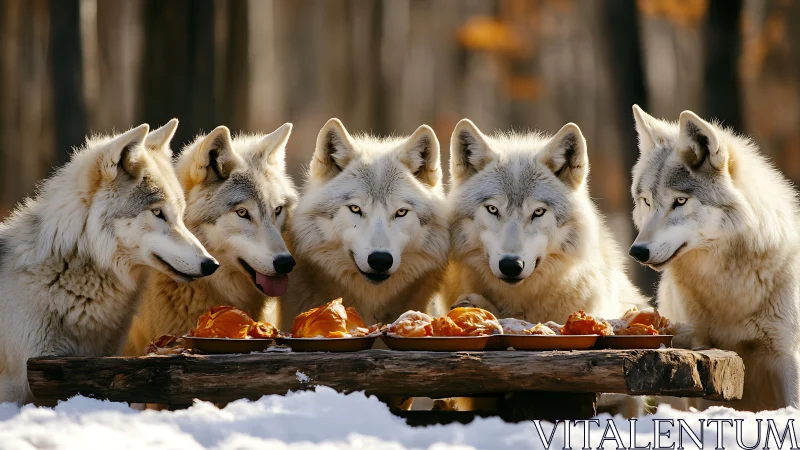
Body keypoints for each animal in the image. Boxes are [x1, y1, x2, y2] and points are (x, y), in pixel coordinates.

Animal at [630, 105, 800, 411]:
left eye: (680, 201)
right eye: (647, 201)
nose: (637, 252)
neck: (726, 279)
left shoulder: (785, 355)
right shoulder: (698, 351)